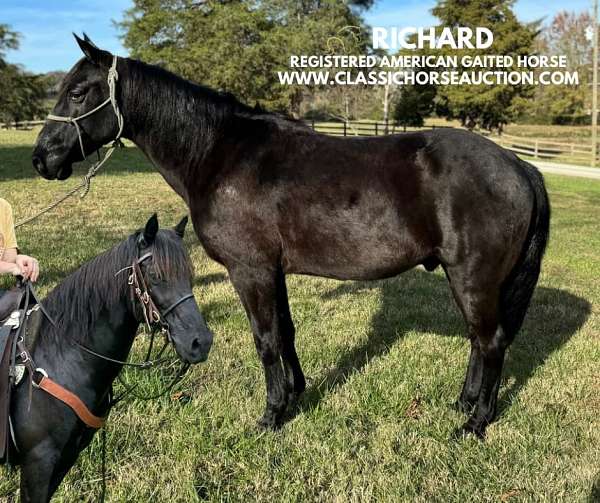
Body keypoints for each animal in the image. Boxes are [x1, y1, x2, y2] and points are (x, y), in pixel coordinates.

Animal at [7, 215, 212, 502]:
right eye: (155, 275)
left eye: (189, 275)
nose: (201, 342)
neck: (60, 357)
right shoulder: (38, 462)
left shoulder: (66, 457)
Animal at [31, 35, 548, 440]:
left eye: (78, 92)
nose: (42, 158)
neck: (219, 154)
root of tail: (517, 165)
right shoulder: (272, 270)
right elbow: (286, 331)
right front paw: (296, 394)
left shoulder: (250, 271)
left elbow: (265, 339)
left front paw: (271, 416)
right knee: (480, 341)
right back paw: (464, 403)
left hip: (473, 279)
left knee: (491, 342)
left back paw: (474, 423)